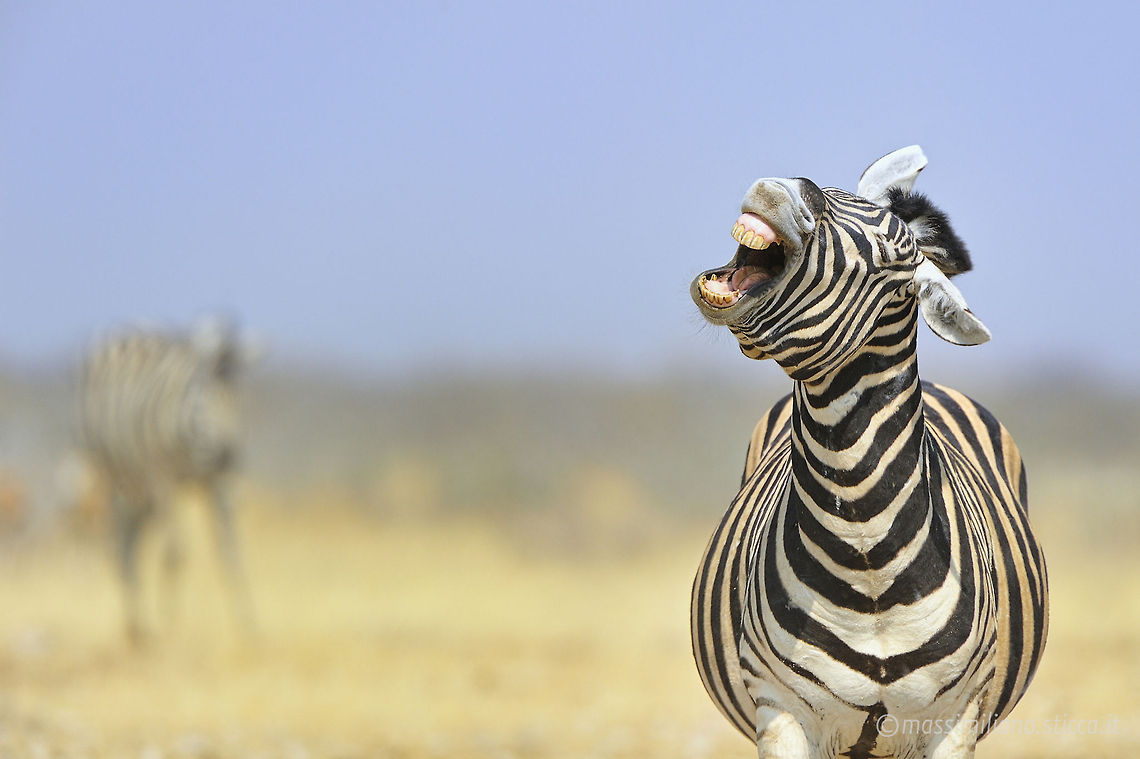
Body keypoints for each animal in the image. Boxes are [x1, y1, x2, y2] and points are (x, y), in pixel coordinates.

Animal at [79, 318, 257, 644]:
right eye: (204, 392)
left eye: (236, 396)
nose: (228, 455)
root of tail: (129, 331)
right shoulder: (164, 478)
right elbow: (176, 553)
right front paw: (172, 629)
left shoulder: (219, 483)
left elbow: (231, 551)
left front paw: (249, 627)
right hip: (114, 476)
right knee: (121, 546)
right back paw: (136, 628)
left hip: (142, 494)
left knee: (133, 542)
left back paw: (139, 625)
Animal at [688, 147, 1047, 759]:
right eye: (832, 192)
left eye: (886, 259)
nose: (785, 188)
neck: (865, 552)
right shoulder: (781, 710)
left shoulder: (956, 722)